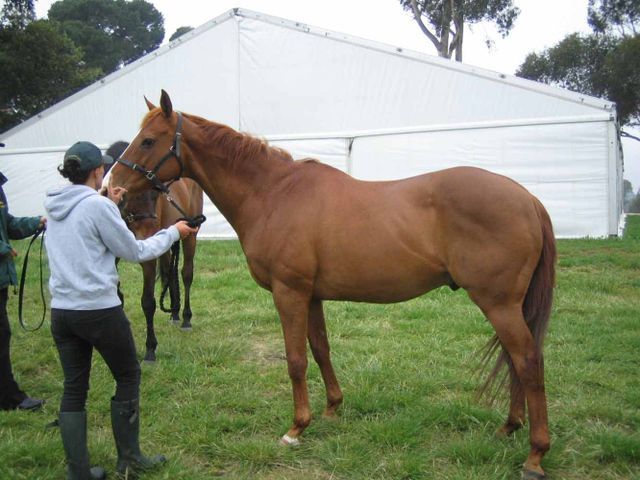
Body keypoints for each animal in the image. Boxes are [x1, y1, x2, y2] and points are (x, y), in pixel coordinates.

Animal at [105, 141, 203, 362]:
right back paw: (174, 312)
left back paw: (185, 318)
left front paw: (150, 348)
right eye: (127, 194)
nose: (148, 234)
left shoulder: (148, 259)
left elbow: (148, 302)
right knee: (168, 272)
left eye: (156, 194)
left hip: (190, 237)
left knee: (186, 274)